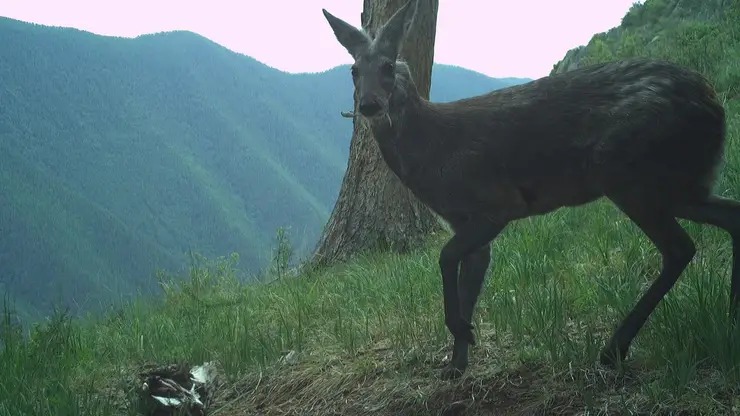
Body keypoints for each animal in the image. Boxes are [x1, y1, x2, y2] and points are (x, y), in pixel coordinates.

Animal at [320, 0, 740, 380]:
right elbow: (466, 281)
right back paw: (729, 314)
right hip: (680, 183)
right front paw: (456, 364)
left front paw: (463, 334)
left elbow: (443, 257)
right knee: (729, 215)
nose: (369, 105)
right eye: (354, 70)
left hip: (629, 172)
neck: (433, 152)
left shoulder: (496, 202)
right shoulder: (465, 223)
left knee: (680, 247)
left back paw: (613, 350)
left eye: (389, 66)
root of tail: (712, 99)